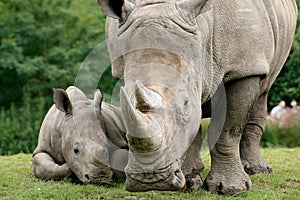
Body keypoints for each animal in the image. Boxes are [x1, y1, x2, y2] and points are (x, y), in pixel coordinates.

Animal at [99, 0, 298, 195]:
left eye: (185, 103)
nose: (150, 179)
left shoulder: (242, 68)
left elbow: (228, 129)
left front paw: (231, 189)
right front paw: (189, 182)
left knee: (262, 91)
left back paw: (258, 170)